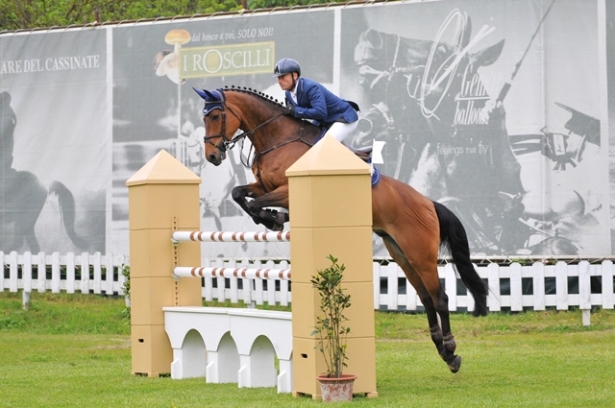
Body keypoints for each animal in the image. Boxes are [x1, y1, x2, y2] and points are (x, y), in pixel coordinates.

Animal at [195, 86, 488, 372]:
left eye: (215, 116)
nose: (212, 156)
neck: (277, 138)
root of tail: (428, 203)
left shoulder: (286, 190)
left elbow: (256, 203)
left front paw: (272, 218)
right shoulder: (263, 186)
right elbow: (239, 193)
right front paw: (270, 218)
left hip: (421, 255)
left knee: (440, 299)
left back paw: (451, 352)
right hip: (402, 254)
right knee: (426, 298)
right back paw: (443, 351)